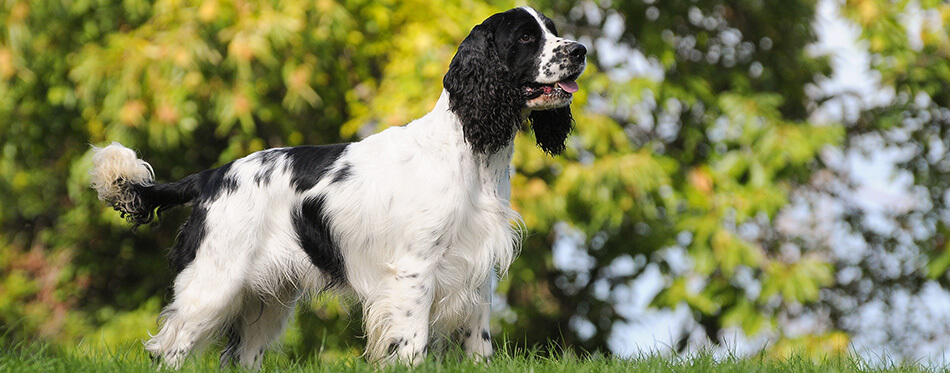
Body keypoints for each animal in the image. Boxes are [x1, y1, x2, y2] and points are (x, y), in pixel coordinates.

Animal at [89, 6, 588, 370]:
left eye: (552, 30)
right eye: (525, 38)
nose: (581, 50)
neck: (470, 153)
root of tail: (210, 177)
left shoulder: (478, 271)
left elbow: (479, 342)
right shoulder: (414, 271)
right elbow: (412, 344)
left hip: (266, 300)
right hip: (212, 284)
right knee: (169, 349)